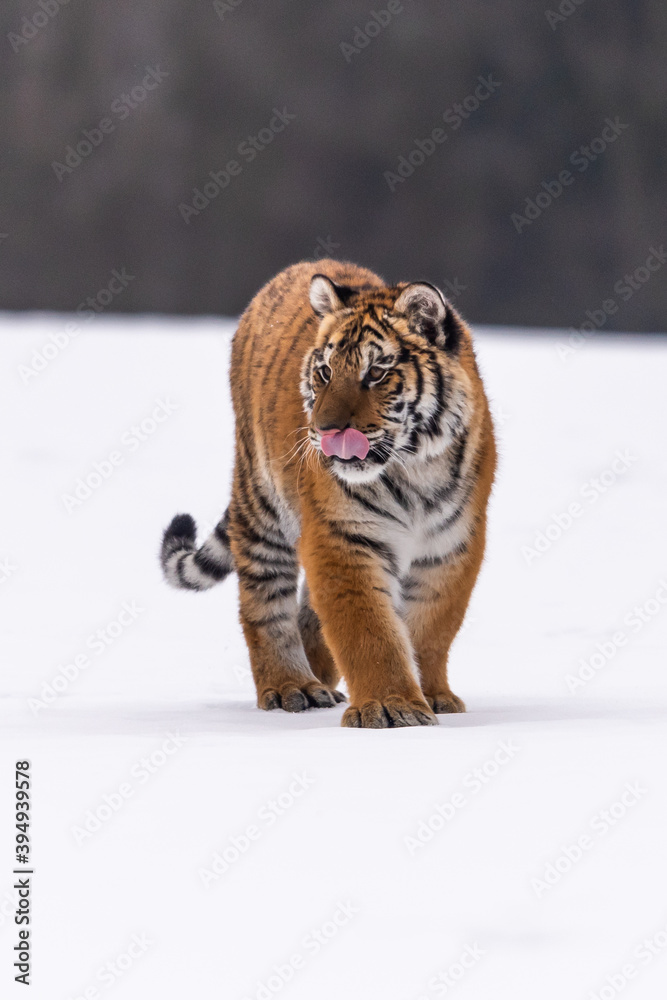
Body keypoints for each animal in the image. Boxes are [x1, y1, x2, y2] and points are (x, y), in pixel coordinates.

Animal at [160, 259, 496, 728]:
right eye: (325, 372)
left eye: (376, 373)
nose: (324, 430)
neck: (413, 468)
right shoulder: (343, 538)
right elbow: (369, 632)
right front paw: (391, 705)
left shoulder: (451, 546)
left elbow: (431, 628)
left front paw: (432, 696)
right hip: (261, 505)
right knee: (264, 605)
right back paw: (291, 687)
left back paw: (319, 681)